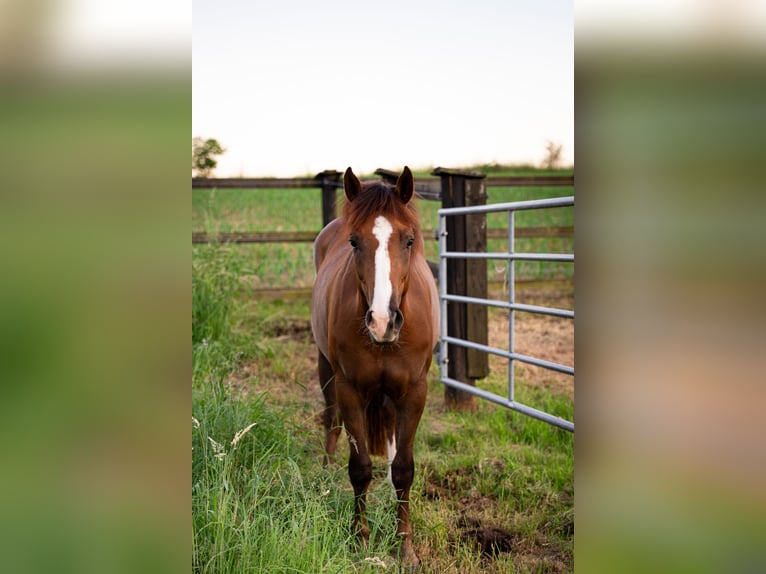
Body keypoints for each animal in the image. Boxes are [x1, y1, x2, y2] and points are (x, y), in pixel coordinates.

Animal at [311, 166, 439, 568]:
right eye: (354, 242)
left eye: (409, 240)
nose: (383, 321)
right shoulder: (350, 390)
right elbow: (360, 467)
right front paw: (360, 540)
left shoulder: (415, 392)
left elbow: (404, 469)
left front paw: (406, 549)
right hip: (326, 369)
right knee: (331, 419)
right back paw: (325, 473)